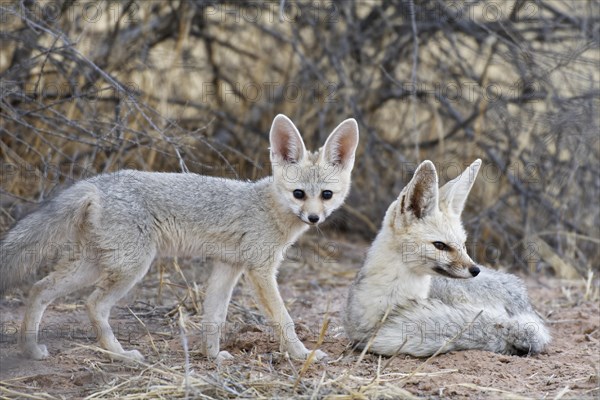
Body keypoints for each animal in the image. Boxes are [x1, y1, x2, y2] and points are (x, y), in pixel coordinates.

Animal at [0, 114, 358, 360]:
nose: (314, 218)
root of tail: (98, 182)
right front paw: (302, 355)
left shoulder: (228, 266)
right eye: (299, 194)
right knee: (93, 303)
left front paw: (213, 356)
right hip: (130, 267)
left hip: (93, 265)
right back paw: (119, 354)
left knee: (39, 289)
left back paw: (30, 349)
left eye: (326, 195)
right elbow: (284, 319)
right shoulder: (260, 270)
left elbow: (215, 316)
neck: (268, 206)